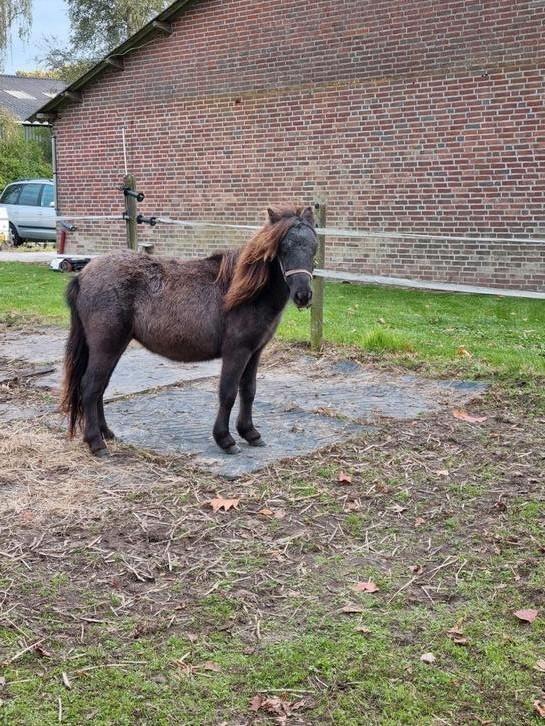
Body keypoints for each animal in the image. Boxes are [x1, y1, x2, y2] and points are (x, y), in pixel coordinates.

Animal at [61, 204, 318, 457]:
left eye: (314, 247)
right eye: (283, 248)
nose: (303, 295)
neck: (243, 291)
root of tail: (83, 275)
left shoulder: (255, 352)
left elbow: (248, 391)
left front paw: (250, 433)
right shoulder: (237, 351)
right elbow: (228, 393)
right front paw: (225, 439)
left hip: (115, 346)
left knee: (100, 387)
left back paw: (106, 433)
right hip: (106, 346)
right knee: (91, 387)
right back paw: (96, 443)